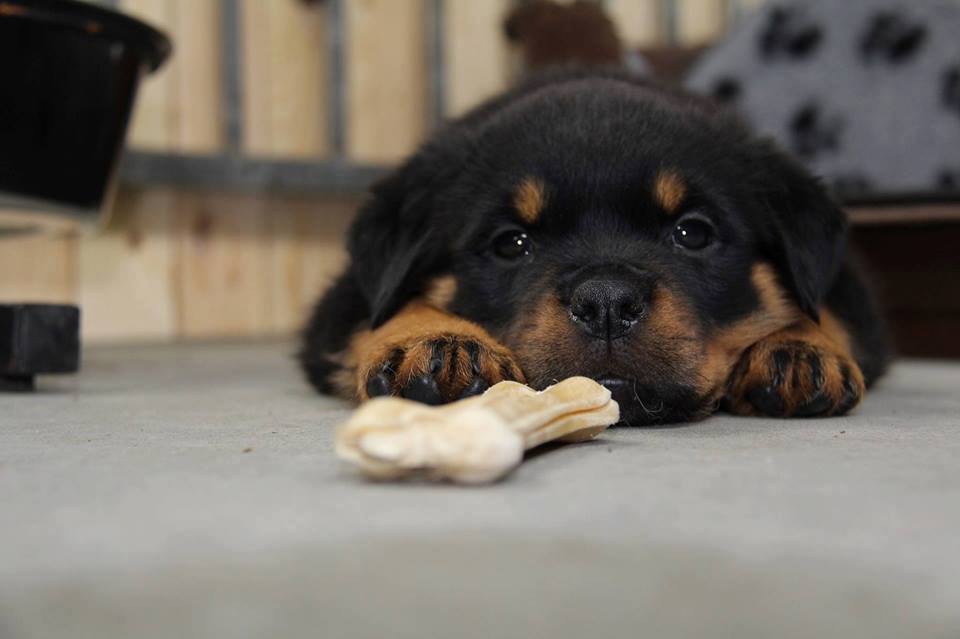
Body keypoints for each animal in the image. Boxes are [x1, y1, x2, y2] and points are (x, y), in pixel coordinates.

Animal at [302, 71, 892, 424]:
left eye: (693, 233)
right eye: (511, 242)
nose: (606, 301)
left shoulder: (845, 280)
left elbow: (825, 310)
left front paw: (799, 348)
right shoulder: (351, 288)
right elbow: (385, 310)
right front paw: (436, 341)